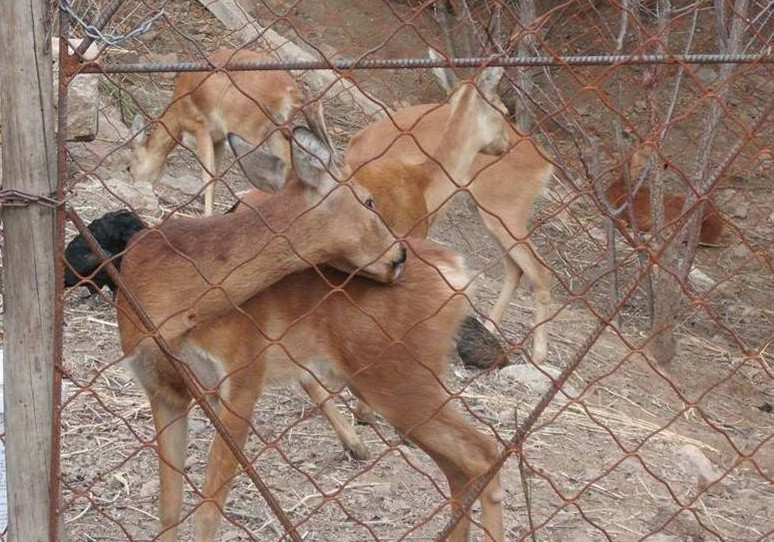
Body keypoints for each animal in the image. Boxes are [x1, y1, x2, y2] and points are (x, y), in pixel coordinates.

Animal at [127, 47, 300, 216]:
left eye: (129, 167)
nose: (135, 185)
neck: (176, 116)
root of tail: (288, 91)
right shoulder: (219, 140)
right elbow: (216, 177)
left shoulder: (200, 128)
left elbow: (208, 177)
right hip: (276, 132)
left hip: (246, 130)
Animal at [348, 56, 556, 366]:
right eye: (502, 110)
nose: (505, 144)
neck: (422, 181)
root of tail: (546, 163)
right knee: (522, 268)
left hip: (500, 215)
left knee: (532, 269)